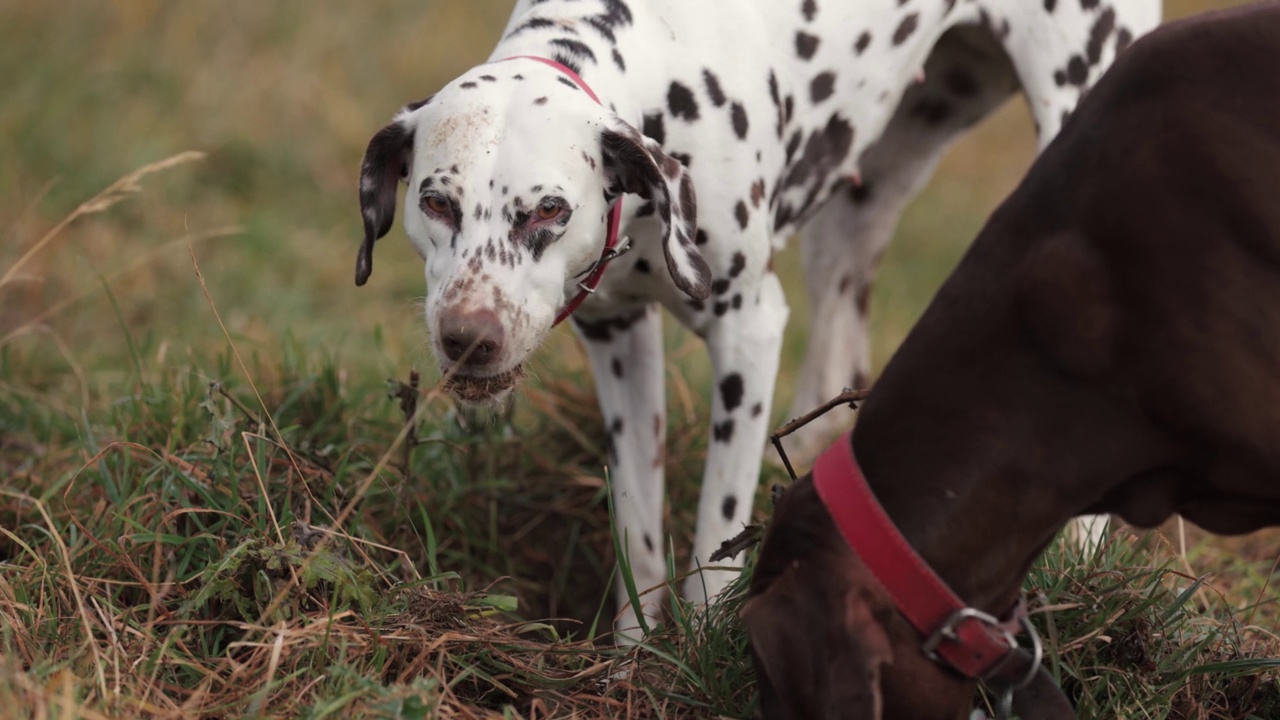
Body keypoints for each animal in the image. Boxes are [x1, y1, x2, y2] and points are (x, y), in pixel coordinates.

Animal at [355, 0, 1167, 638]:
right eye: (436, 202)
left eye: (549, 210)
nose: (470, 338)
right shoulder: (619, 343)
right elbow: (638, 537)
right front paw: (633, 661)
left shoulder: (747, 332)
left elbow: (715, 540)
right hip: (863, 200)